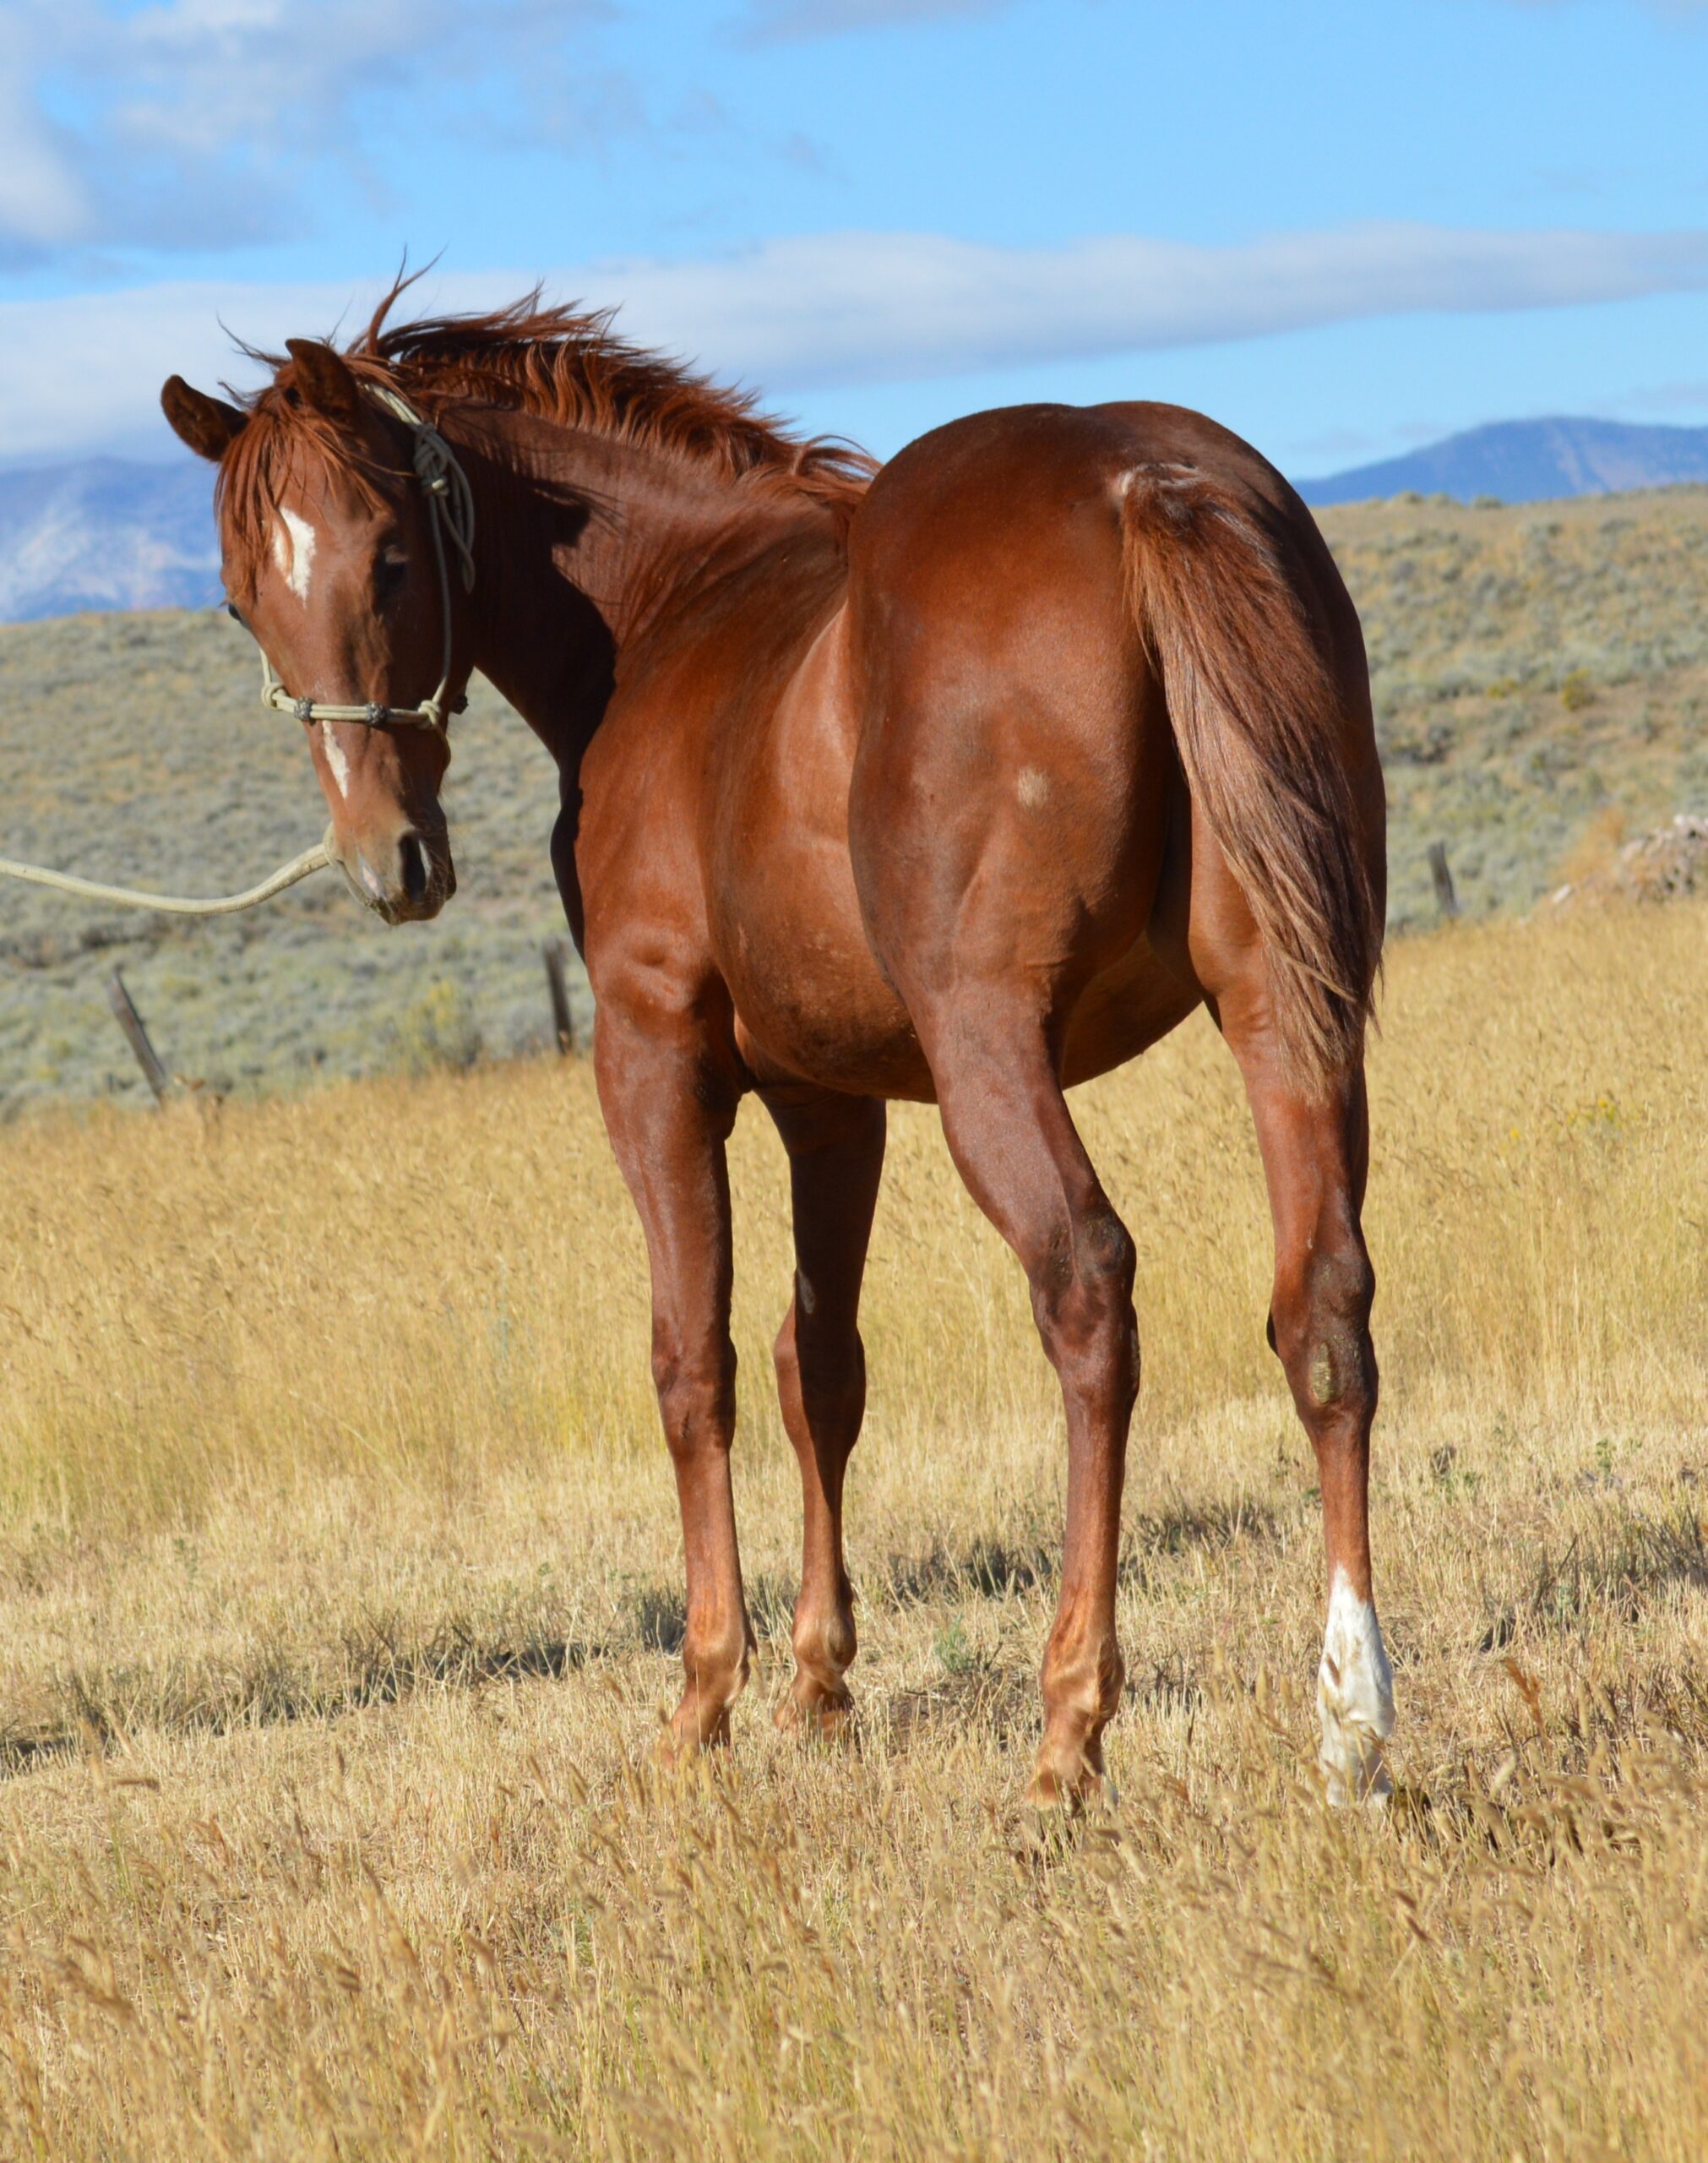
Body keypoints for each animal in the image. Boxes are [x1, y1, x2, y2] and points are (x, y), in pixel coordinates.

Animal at [160, 289, 1393, 1807]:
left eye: (390, 557)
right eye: (242, 598)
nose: (387, 859)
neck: (675, 609)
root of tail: (1138, 482)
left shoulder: (654, 1065)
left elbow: (694, 1368)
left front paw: (705, 1694)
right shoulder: (828, 1099)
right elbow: (823, 1369)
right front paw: (818, 1682)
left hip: (991, 1052)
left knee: (1088, 1292)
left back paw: (1068, 1726)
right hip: (1284, 1009)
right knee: (1321, 1305)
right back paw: (1351, 1713)